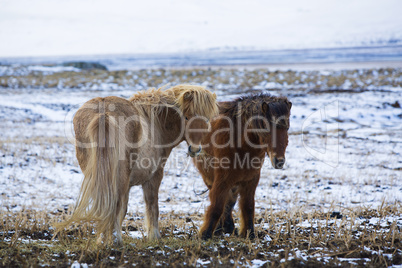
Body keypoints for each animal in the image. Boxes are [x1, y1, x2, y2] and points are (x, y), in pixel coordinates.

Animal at [56, 85, 217, 244]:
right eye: (186, 117)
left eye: (207, 119)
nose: (195, 149)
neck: (155, 124)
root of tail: (103, 112)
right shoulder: (153, 177)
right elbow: (151, 205)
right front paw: (154, 236)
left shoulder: (127, 184)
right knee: (116, 204)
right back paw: (115, 240)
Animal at [192, 93, 292, 239]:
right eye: (267, 128)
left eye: (287, 128)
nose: (279, 161)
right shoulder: (222, 179)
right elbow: (216, 205)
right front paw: (205, 234)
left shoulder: (251, 180)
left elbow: (248, 207)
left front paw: (249, 233)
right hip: (210, 177)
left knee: (230, 202)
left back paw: (227, 227)